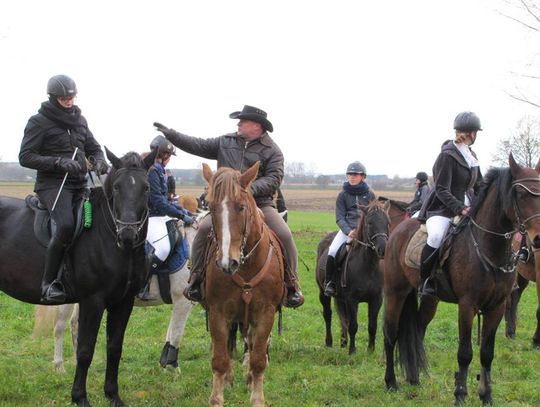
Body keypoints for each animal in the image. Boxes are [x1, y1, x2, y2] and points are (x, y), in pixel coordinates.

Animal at [0, 149, 154, 407]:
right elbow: (85, 350)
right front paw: (79, 397)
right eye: (117, 187)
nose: (128, 235)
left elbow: (114, 348)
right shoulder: (92, 302)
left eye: (146, 188)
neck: (107, 236)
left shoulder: (124, 302)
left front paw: (113, 395)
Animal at [33, 214, 207, 372]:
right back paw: (59, 367)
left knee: (75, 324)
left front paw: (164, 365)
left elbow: (170, 332)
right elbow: (176, 334)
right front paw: (172, 369)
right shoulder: (182, 302)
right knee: (59, 327)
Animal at [201, 163, 286, 407]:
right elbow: (220, 359)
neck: (245, 266)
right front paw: (217, 397)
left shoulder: (265, 313)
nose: (226, 262)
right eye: (211, 207)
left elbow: (258, 359)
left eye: (240, 207)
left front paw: (257, 397)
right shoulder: (218, 312)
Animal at [314, 200, 390, 354]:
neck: (368, 266)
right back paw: (329, 342)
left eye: (387, 223)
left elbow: (372, 326)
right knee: (328, 315)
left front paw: (370, 350)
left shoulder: (376, 300)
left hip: (340, 298)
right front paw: (352, 351)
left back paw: (343, 342)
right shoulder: (352, 299)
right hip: (323, 293)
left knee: (342, 318)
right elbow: (353, 325)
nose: (383, 249)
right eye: (369, 223)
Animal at [382, 155, 540, 406]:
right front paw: (460, 395)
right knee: (390, 333)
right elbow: (465, 353)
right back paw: (391, 382)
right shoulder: (467, 306)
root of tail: (398, 231)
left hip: (430, 300)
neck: (489, 246)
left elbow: (487, 353)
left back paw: (414, 378)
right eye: (521, 195)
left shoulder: (496, 307)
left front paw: (486, 396)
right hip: (395, 292)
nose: (537, 239)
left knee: (417, 330)